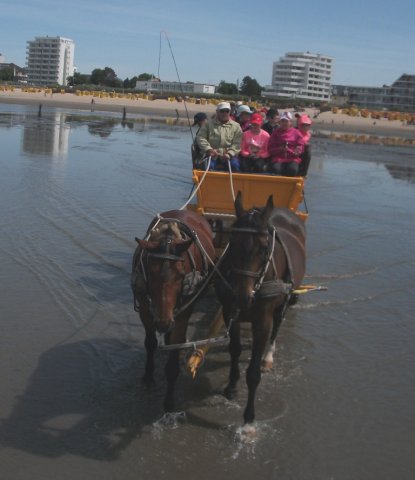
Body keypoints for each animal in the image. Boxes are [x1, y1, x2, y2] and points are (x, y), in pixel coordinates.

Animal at [131, 211, 216, 412]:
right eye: (150, 273)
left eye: (181, 274)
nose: (163, 323)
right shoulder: (145, 309)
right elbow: (150, 343)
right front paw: (148, 377)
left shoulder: (183, 314)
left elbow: (173, 359)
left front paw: (169, 402)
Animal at [216, 193, 308, 426]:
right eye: (232, 242)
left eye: (264, 248)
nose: (242, 297)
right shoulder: (229, 311)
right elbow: (234, 349)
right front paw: (231, 386)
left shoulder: (262, 321)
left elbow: (253, 372)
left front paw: (249, 417)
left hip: (285, 299)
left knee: (277, 325)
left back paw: (268, 357)